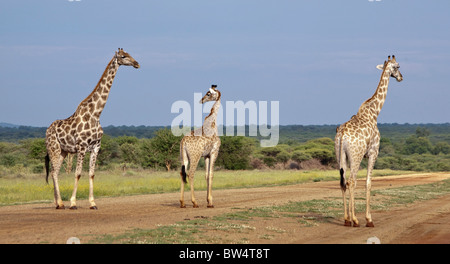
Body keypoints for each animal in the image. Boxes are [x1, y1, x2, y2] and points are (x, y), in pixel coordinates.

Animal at [44, 47, 139, 208]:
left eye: (130, 54)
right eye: (123, 56)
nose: (136, 63)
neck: (96, 114)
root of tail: (46, 130)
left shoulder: (96, 147)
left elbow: (91, 174)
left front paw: (93, 203)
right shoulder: (81, 147)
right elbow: (78, 173)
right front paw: (73, 203)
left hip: (63, 151)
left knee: (54, 172)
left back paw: (58, 203)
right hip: (54, 149)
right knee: (53, 172)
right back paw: (61, 203)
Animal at [334, 55, 404, 227]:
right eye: (397, 66)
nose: (401, 77)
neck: (374, 113)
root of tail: (342, 134)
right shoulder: (373, 153)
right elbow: (368, 183)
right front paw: (369, 219)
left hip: (340, 156)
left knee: (343, 182)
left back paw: (346, 219)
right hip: (356, 155)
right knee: (351, 181)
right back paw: (355, 220)